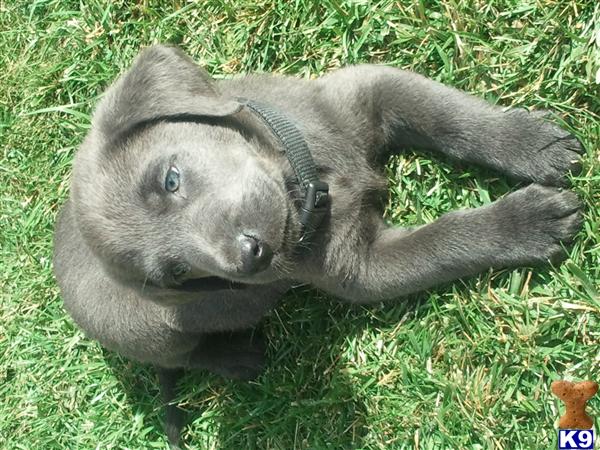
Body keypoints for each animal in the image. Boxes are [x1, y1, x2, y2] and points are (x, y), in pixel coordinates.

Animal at [54, 44, 584, 444]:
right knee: (183, 356)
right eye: (178, 273)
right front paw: (527, 221)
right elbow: (445, 240)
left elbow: (449, 116)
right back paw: (237, 357)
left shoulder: (365, 92)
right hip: (156, 336)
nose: (251, 258)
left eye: (170, 179)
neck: (312, 187)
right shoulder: (363, 269)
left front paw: (530, 143)